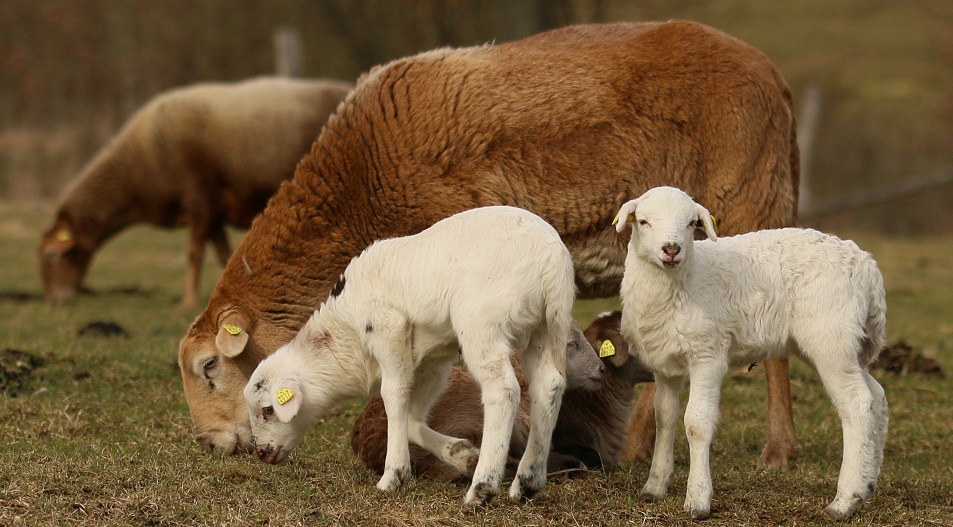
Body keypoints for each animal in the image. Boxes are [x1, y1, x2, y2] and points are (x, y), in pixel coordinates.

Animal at [39, 77, 353, 309]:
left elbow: (193, 253)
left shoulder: (199, 199)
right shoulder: (214, 212)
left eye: (53, 257)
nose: (55, 301)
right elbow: (224, 254)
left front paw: (187, 303)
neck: (138, 167)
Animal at [243, 205, 576, 507]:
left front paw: (393, 476)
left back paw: (482, 488)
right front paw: (461, 455)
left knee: (503, 390)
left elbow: (394, 395)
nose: (261, 453)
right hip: (548, 327)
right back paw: (527, 482)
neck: (342, 336)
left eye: (268, 409)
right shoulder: (432, 362)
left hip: (482, 323)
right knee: (549, 387)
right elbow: (413, 418)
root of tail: (548, 257)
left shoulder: (388, 330)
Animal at [613, 186, 888, 520]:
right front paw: (654, 487)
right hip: (846, 343)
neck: (684, 280)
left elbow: (696, 423)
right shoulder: (665, 365)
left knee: (856, 403)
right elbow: (664, 417)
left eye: (692, 223)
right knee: (876, 396)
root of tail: (865, 263)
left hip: (830, 335)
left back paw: (844, 501)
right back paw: (867, 484)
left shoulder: (708, 354)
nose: (671, 249)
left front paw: (698, 500)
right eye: (643, 221)